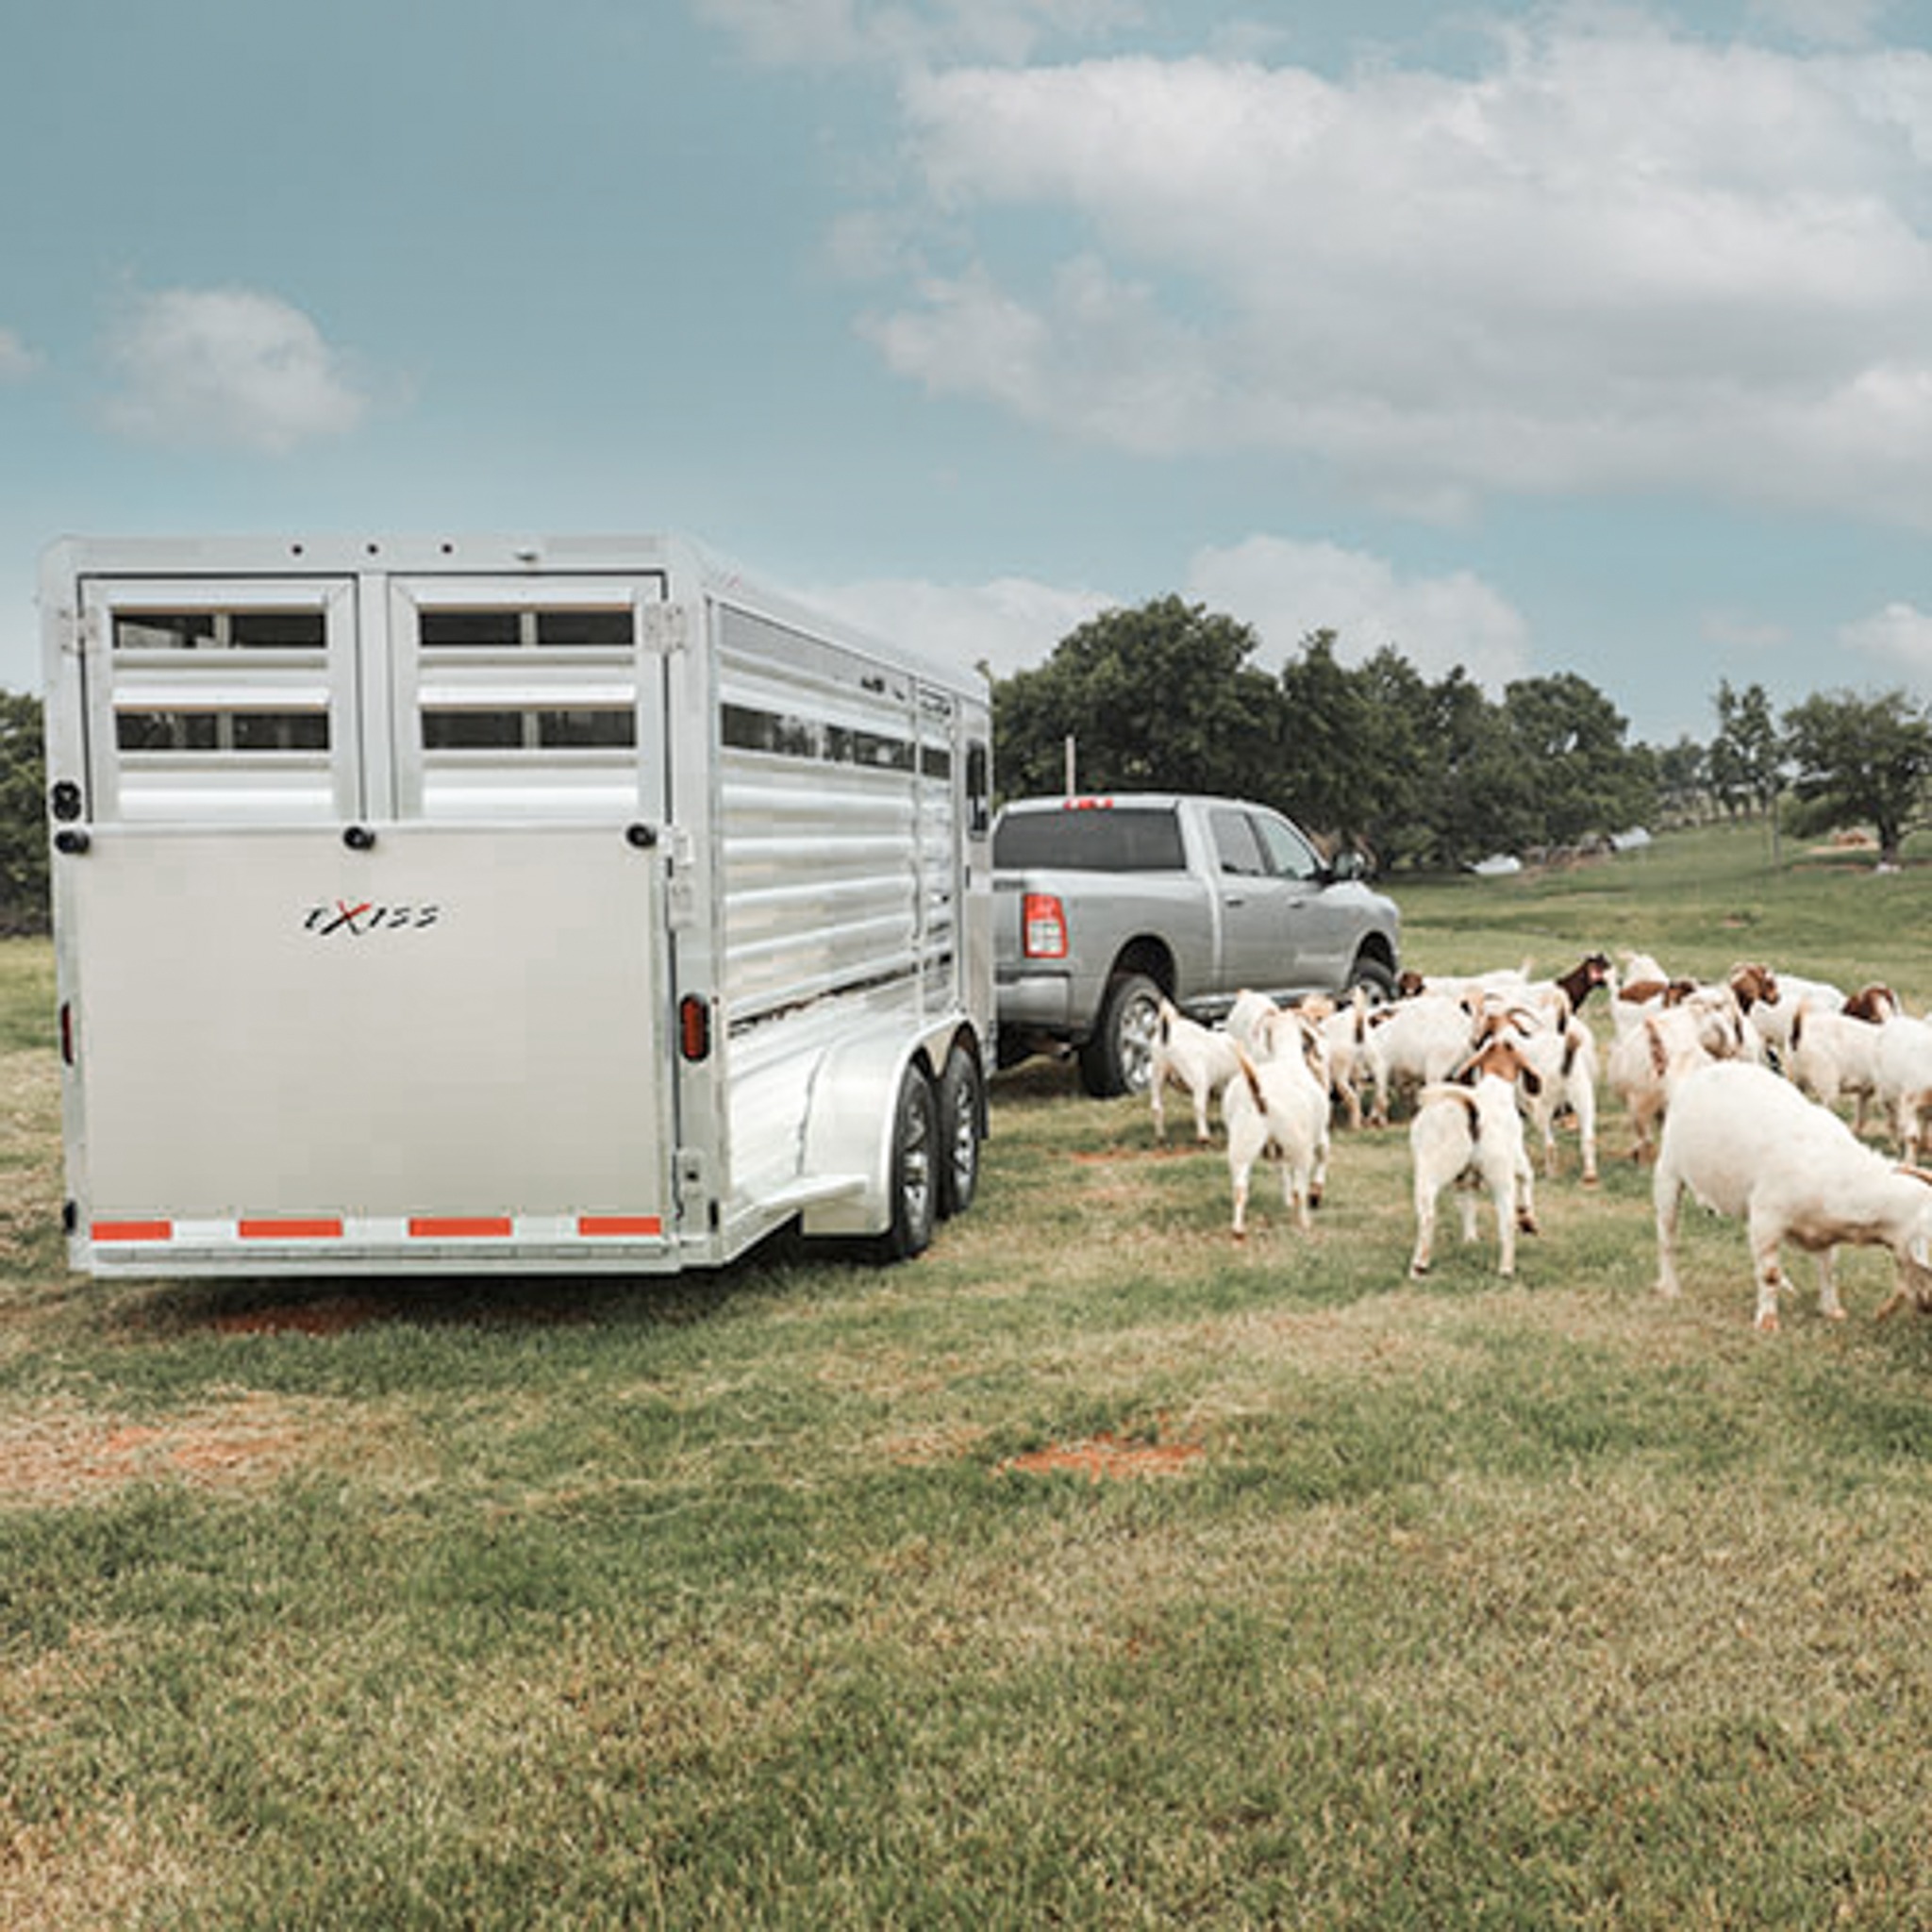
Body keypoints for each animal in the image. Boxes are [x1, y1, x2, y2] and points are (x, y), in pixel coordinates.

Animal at [1406, 1035, 1538, 1274]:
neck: (1494, 1086)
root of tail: (1471, 1109)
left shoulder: (1465, 1178)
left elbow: (1468, 1205)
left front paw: (1470, 1240)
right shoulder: (1517, 1157)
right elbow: (1527, 1177)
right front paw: (1528, 1220)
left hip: (1428, 1171)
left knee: (1427, 1214)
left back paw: (1419, 1266)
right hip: (1500, 1176)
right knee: (1506, 1221)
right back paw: (1506, 1268)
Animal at [1654, 1058, 1932, 1329]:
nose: (1927, 1307)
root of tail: (1707, 1069)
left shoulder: (1820, 1232)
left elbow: (1828, 1269)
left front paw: (1832, 1311)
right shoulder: (1767, 1218)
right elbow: (1769, 1273)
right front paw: (1768, 1322)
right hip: (1668, 1172)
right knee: (1667, 1236)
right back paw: (1670, 1289)